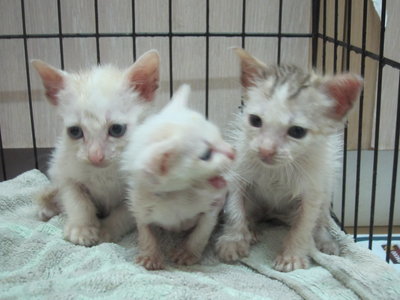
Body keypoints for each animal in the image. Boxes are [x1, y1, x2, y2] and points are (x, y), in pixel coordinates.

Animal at [33, 49, 161, 246]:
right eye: (75, 131)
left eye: (117, 129)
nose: (95, 156)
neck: (105, 173)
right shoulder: (65, 173)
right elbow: (76, 200)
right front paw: (81, 227)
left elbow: (125, 213)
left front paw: (106, 230)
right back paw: (47, 207)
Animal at [122, 84, 234, 270]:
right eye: (206, 155)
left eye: (219, 136)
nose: (233, 152)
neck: (177, 195)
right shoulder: (139, 203)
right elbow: (145, 231)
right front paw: (149, 255)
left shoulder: (214, 203)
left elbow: (202, 231)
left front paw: (187, 252)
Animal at [216, 48, 362, 272]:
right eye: (255, 120)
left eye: (297, 131)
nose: (265, 150)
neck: (278, 169)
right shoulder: (237, 172)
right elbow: (234, 208)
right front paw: (233, 241)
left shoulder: (313, 189)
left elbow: (304, 224)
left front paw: (292, 255)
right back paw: (251, 228)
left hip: (326, 187)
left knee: (320, 220)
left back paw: (325, 242)